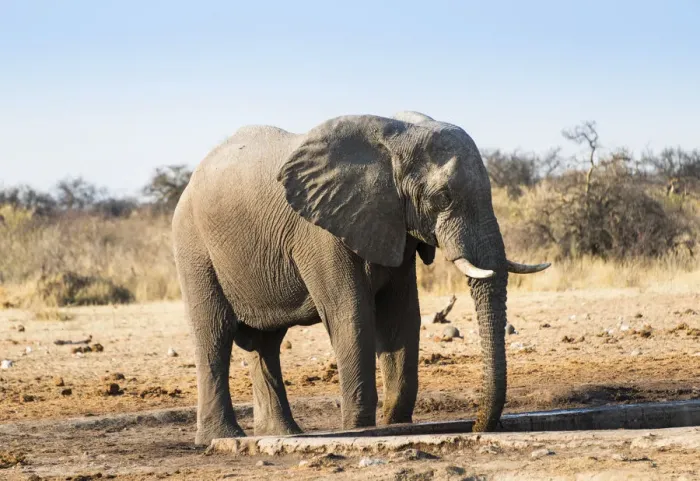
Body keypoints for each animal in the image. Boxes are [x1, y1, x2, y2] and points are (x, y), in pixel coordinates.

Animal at [172, 111, 550, 445]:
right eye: (443, 198)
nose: (477, 426)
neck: (396, 137)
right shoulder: (318, 232)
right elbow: (350, 315)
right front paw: (360, 428)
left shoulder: (394, 223)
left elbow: (400, 317)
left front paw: (395, 424)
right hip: (193, 246)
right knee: (214, 334)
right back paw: (222, 438)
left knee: (265, 344)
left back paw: (284, 434)